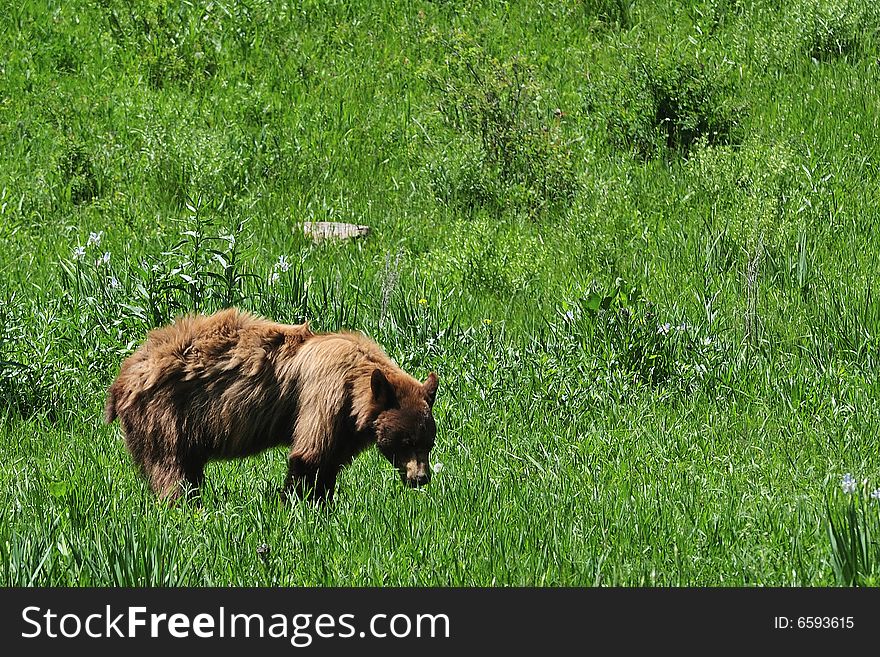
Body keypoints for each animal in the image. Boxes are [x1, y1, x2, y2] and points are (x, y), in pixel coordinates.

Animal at [105, 308, 438, 502]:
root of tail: (123, 377)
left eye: (428, 441)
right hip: (164, 414)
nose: (421, 478)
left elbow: (330, 460)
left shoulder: (344, 424)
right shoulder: (323, 395)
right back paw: (182, 504)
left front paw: (323, 498)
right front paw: (298, 502)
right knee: (169, 467)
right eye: (406, 441)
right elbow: (310, 455)